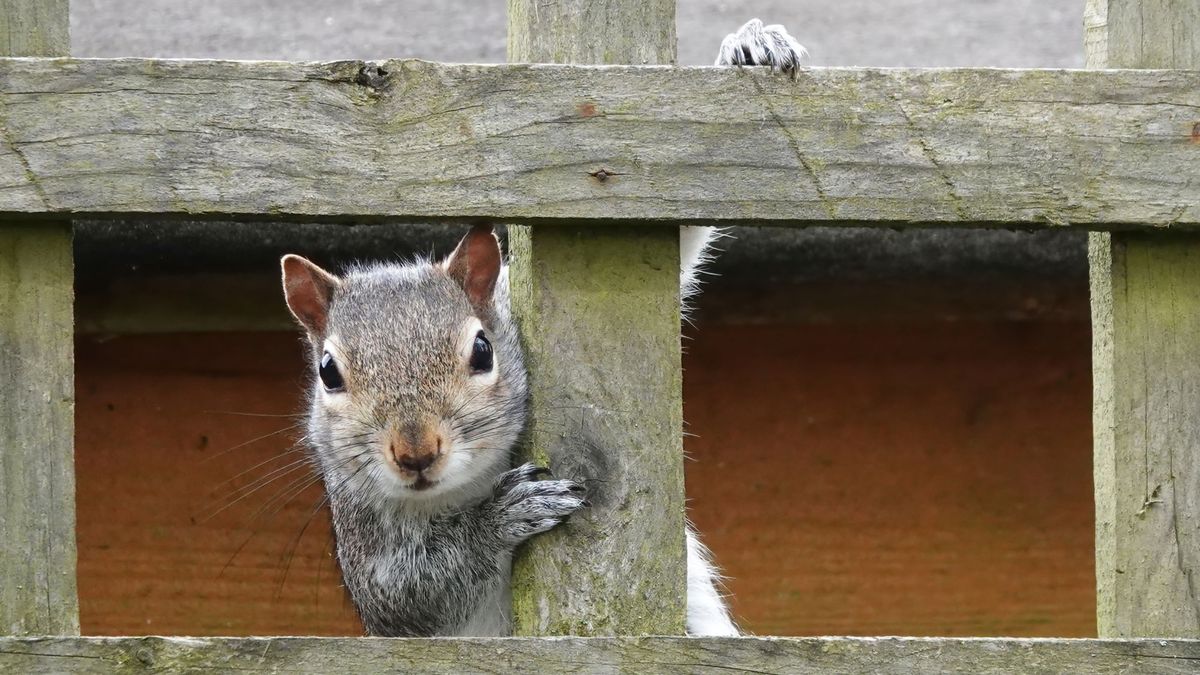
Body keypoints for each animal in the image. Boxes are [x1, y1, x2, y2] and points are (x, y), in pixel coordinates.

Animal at [279, 19, 806, 637]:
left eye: (483, 350)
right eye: (328, 373)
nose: (415, 452)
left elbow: (672, 247)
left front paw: (750, 50)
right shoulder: (370, 555)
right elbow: (415, 593)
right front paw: (501, 517)